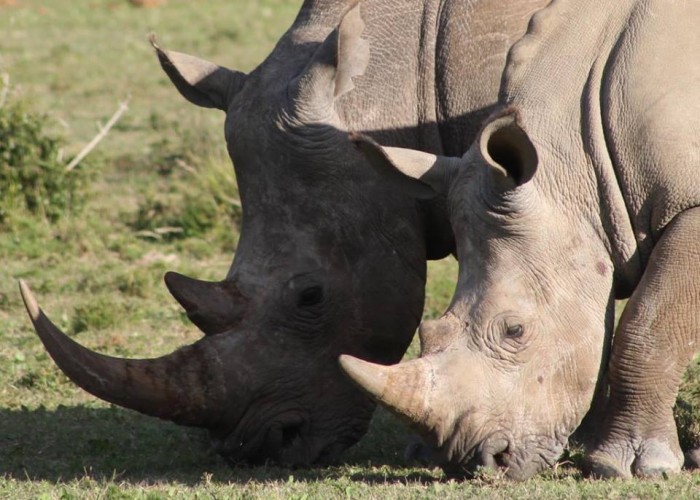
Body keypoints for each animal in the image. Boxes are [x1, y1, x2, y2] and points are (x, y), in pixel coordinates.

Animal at [342, 0, 700, 480]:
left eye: (515, 331)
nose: (480, 461)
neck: (578, 162)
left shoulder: (691, 204)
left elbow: (647, 327)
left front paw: (628, 466)